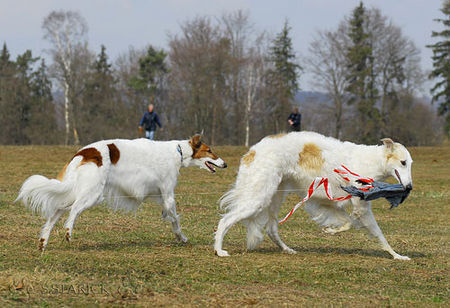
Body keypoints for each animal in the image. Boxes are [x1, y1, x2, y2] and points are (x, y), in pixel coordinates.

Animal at [15, 135, 227, 250]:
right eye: (209, 150)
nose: (225, 164)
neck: (178, 152)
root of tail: (84, 152)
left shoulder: (161, 197)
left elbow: (169, 216)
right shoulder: (168, 194)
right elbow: (175, 219)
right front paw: (181, 237)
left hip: (75, 191)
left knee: (55, 213)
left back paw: (43, 241)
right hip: (92, 194)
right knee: (73, 211)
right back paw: (68, 232)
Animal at [214, 131, 412, 260]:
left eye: (410, 163)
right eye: (402, 162)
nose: (409, 187)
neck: (373, 162)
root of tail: (253, 150)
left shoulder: (327, 201)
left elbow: (348, 222)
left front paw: (330, 230)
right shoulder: (361, 205)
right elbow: (378, 233)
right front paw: (397, 255)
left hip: (275, 196)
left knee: (271, 229)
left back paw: (287, 249)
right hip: (259, 197)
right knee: (224, 221)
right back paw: (219, 250)